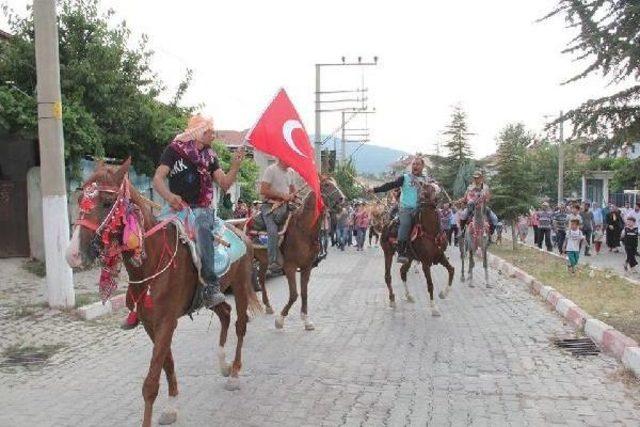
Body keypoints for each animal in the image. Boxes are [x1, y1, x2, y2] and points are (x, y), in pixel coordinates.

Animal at [66, 160, 262, 427]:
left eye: (107, 202)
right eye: (79, 200)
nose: (73, 255)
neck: (152, 259)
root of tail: (241, 232)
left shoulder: (166, 323)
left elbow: (150, 383)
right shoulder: (152, 325)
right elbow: (167, 364)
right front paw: (171, 408)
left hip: (241, 286)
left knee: (240, 324)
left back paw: (233, 374)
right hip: (213, 295)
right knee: (224, 313)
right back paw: (223, 364)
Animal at [255, 177, 344, 332]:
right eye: (327, 185)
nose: (342, 199)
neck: (303, 230)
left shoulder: (306, 267)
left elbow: (304, 292)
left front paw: (306, 320)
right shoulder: (290, 267)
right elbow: (294, 294)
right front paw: (280, 319)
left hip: (263, 261)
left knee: (261, 279)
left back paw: (267, 306)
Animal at [380, 184, 456, 318]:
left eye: (436, 185)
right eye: (428, 188)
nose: (440, 192)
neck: (430, 231)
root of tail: (387, 224)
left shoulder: (440, 256)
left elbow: (451, 270)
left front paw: (443, 293)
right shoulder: (426, 263)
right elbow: (430, 285)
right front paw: (434, 308)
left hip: (409, 257)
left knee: (402, 272)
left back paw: (409, 296)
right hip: (388, 253)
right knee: (388, 276)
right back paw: (392, 300)